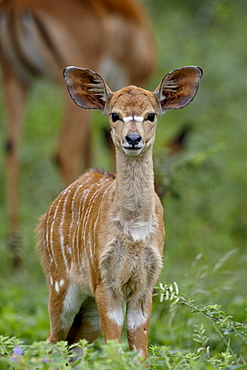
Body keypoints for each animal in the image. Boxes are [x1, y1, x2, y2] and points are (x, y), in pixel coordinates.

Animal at [37, 66, 203, 358]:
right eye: (114, 115)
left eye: (151, 115)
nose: (133, 139)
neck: (134, 228)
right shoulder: (105, 281)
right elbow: (114, 347)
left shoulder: (145, 284)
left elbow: (139, 349)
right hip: (60, 285)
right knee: (52, 341)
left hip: (87, 307)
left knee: (74, 344)